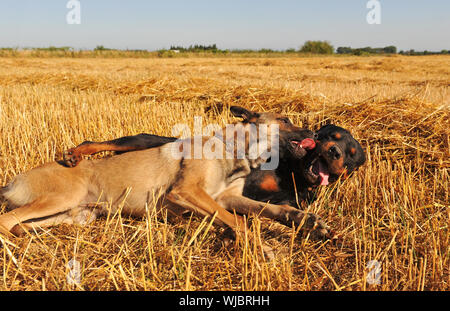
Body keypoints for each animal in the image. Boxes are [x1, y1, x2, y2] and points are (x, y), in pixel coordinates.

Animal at [0, 107, 330, 258]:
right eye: (285, 120)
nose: (314, 132)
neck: (232, 151)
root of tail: (12, 180)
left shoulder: (226, 198)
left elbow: (266, 210)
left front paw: (306, 221)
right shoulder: (187, 192)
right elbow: (237, 220)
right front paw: (262, 247)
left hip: (75, 215)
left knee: (20, 224)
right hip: (61, 199)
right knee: (6, 221)